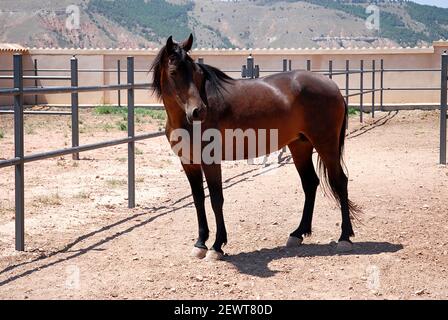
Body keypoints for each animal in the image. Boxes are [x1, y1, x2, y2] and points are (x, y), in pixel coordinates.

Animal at [150, 34, 360, 260]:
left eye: (196, 72)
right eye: (173, 72)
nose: (199, 111)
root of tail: (332, 86)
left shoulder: (211, 160)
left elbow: (216, 199)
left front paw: (216, 246)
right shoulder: (188, 162)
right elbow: (198, 199)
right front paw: (200, 243)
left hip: (326, 144)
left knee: (340, 182)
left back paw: (344, 238)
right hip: (300, 146)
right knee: (310, 183)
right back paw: (297, 234)